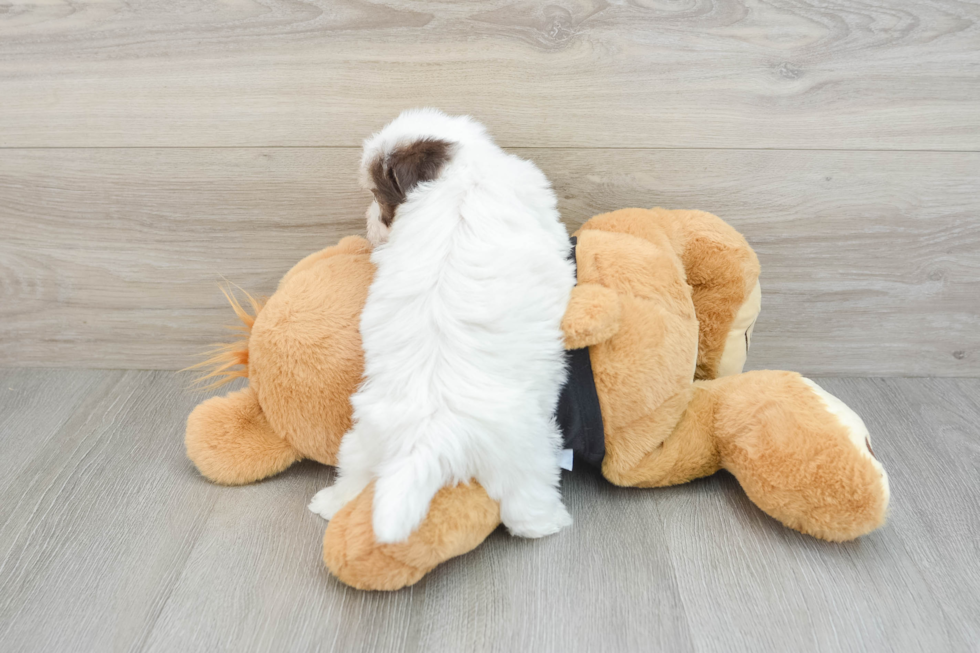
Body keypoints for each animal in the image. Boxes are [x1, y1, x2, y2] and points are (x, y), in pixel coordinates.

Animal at [310, 109, 580, 544]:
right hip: (525, 450)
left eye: (377, 196)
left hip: (367, 437)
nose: (369, 223)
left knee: (355, 474)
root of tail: (428, 439)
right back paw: (548, 523)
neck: (459, 175)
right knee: (525, 499)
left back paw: (329, 503)